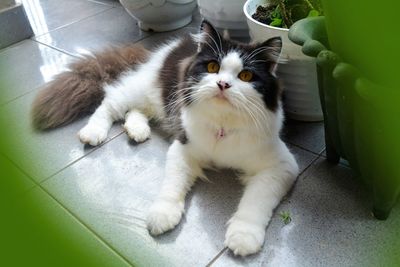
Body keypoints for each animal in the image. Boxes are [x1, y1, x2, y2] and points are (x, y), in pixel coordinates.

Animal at [31, 20, 296, 258]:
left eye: (246, 75)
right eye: (212, 67)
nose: (222, 84)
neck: (223, 126)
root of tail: (163, 49)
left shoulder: (281, 166)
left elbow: (255, 203)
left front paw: (244, 237)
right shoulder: (183, 147)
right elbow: (172, 186)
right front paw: (162, 215)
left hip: (155, 102)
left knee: (135, 112)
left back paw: (137, 131)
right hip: (140, 91)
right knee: (110, 102)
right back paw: (93, 132)